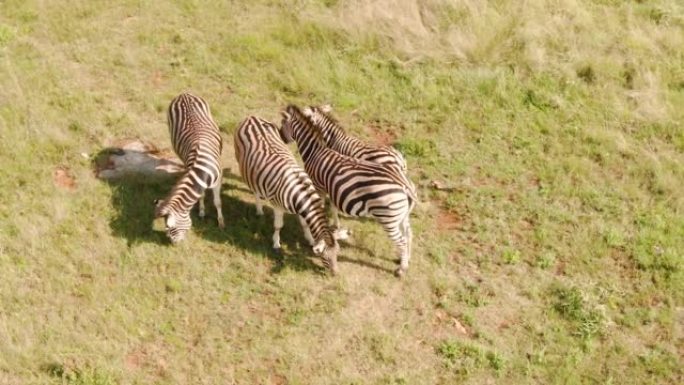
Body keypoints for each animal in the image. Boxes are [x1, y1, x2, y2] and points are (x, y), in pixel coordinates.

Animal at [154, 92, 224, 243]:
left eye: (171, 228)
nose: (175, 244)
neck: (201, 170)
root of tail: (184, 94)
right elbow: (201, 195)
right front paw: (202, 211)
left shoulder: (218, 180)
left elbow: (217, 202)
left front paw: (221, 222)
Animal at [235, 114, 340, 272]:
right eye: (325, 258)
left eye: (338, 254)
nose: (336, 274)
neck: (299, 194)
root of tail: (251, 117)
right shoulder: (278, 207)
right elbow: (278, 226)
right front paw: (276, 244)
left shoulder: (302, 210)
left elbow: (304, 224)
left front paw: (310, 239)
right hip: (242, 164)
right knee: (254, 191)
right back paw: (259, 210)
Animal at [280, 105, 416, 276]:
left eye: (283, 123)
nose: (281, 138)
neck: (316, 151)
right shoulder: (330, 185)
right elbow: (333, 206)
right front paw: (336, 225)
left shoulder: (319, 186)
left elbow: (321, 207)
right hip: (401, 214)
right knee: (408, 233)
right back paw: (406, 260)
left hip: (389, 218)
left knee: (402, 240)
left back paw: (401, 270)